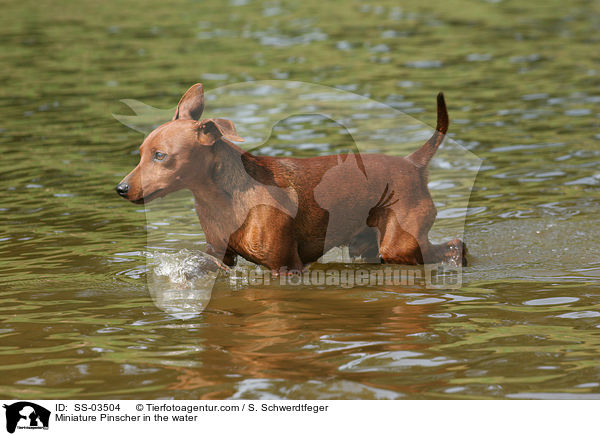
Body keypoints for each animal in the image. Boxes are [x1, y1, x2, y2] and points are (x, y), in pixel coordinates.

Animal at [115, 83, 466, 270]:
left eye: (161, 156)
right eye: (141, 153)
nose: (121, 188)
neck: (220, 198)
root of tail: (413, 163)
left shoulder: (286, 266)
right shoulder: (221, 257)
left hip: (400, 246)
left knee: (455, 246)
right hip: (367, 247)